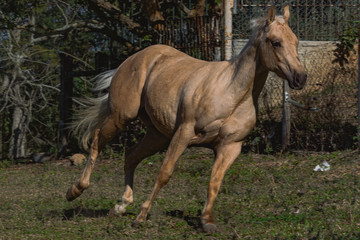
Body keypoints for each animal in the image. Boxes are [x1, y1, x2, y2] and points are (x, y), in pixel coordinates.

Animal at [67, 5, 306, 233]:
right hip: (121, 118)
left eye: (296, 41)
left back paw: (121, 205)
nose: (300, 78)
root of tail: (134, 59)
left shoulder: (230, 146)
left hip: (157, 135)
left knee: (131, 155)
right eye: (276, 42)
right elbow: (165, 173)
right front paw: (142, 216)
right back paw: (75, 191)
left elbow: (215, 182)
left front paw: (207, 222)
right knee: (96, 141)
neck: (232, 94)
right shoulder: (184, 133)